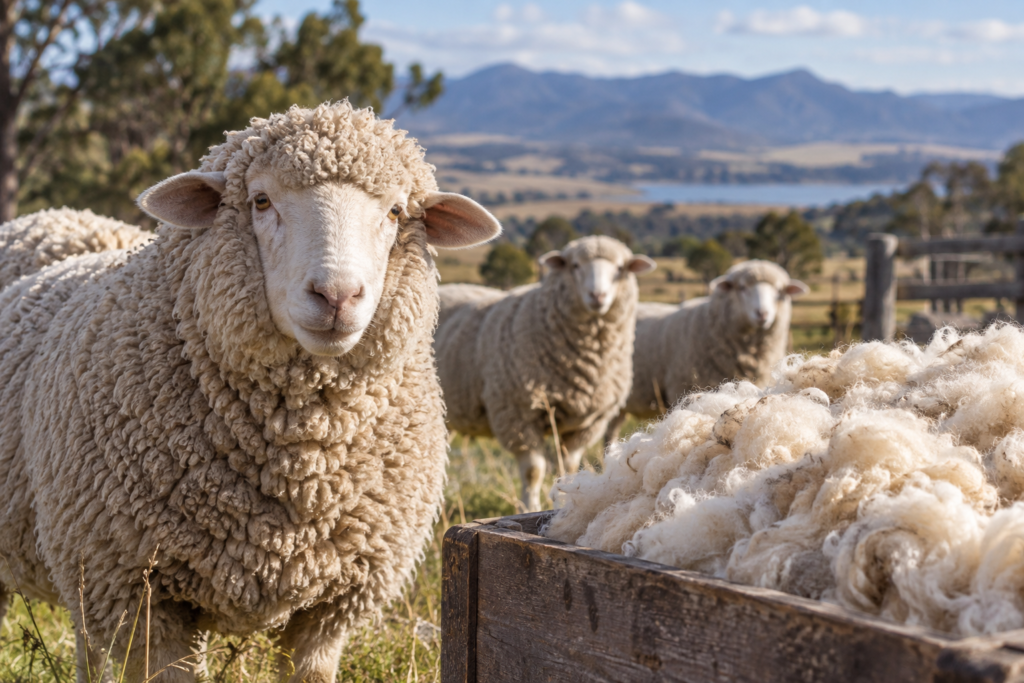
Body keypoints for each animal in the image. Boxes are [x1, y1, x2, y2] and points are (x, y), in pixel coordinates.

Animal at [434, 236, 655, 511]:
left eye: (620, 268)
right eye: (574, 265)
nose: (597, 295)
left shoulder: (588, 424)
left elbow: (568, 468)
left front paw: (566, 500)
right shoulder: (517, 414)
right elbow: (533, 472)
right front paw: (530, 508)